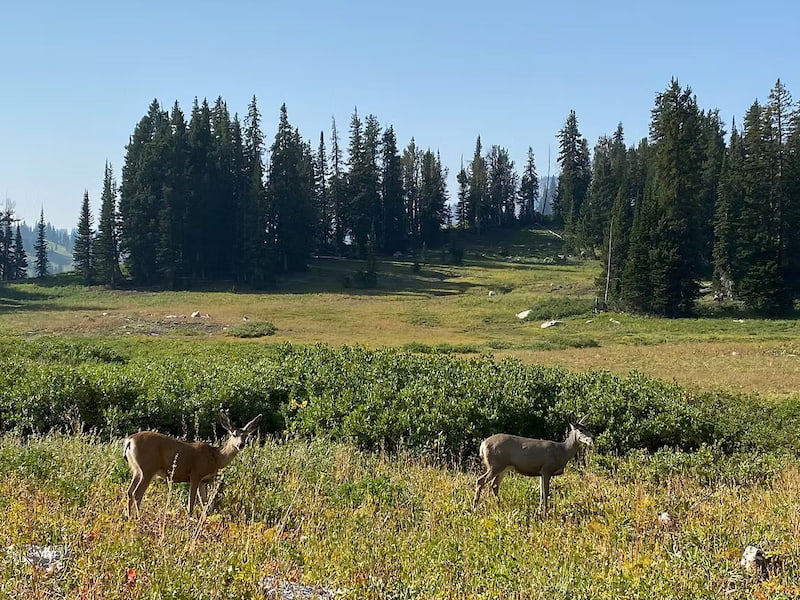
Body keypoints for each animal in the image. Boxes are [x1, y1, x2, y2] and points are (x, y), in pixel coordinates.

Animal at [123, 411, 262, 518]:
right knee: (137, 493)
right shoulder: (195, 474)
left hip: (136, 469)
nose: (241, 445)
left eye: (246, 435)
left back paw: (129, 517)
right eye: (233, 434)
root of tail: (129, 441)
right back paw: (139, 517)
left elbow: (206, 503)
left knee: (129, 491)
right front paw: (190, 518)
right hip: (148, 468)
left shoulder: (204, 481)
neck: (215, 458)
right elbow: (191, 501)